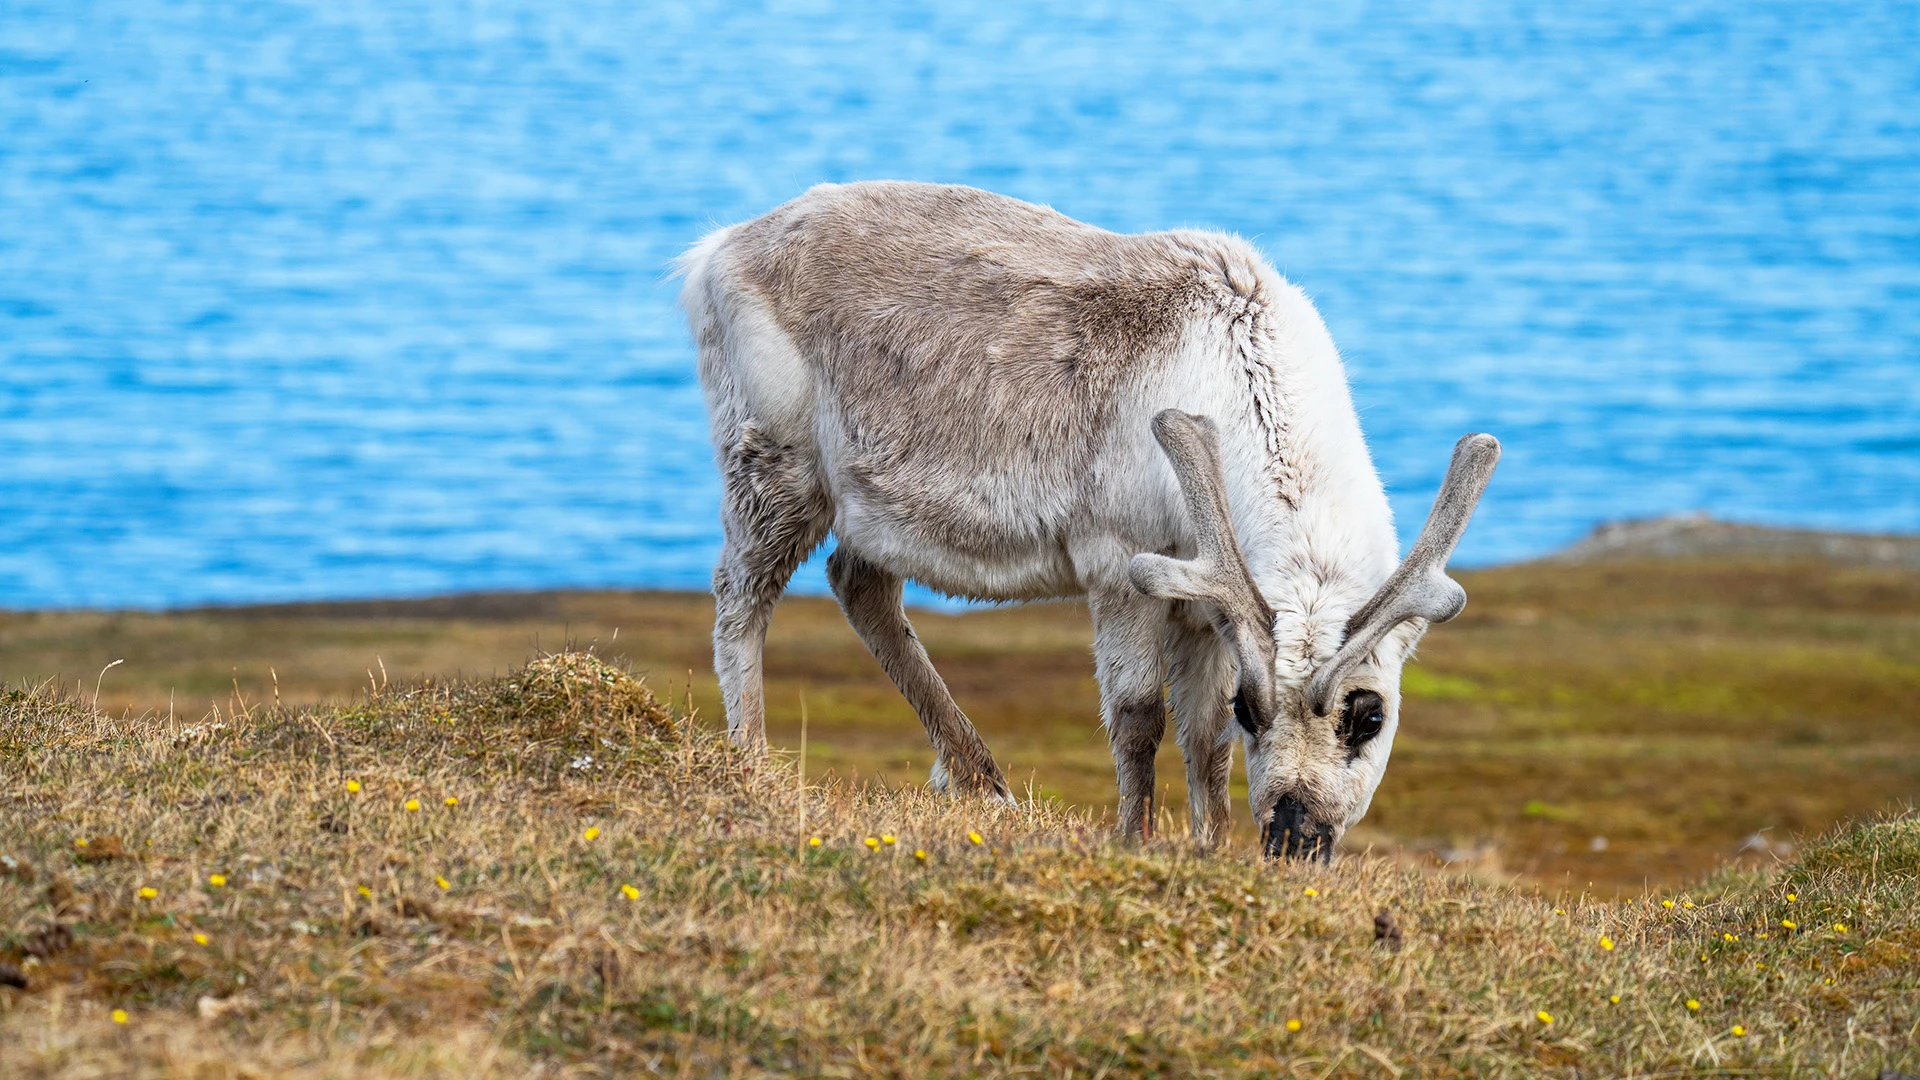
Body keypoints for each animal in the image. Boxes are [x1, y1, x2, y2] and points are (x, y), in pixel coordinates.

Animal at [677, 181, 1498, 860]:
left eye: (1370, 716)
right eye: (1254, 707)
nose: (1293, 839)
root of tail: (718, 250)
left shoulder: (1208, 606)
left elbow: (1204, 743)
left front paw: (1210, 847)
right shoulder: (1119, 563)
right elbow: (1137, 717)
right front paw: (1134, 839)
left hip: (870, 502)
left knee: (859, 583)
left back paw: (984, 781)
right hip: (774, 460)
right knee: (741, 595)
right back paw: (753, 761)